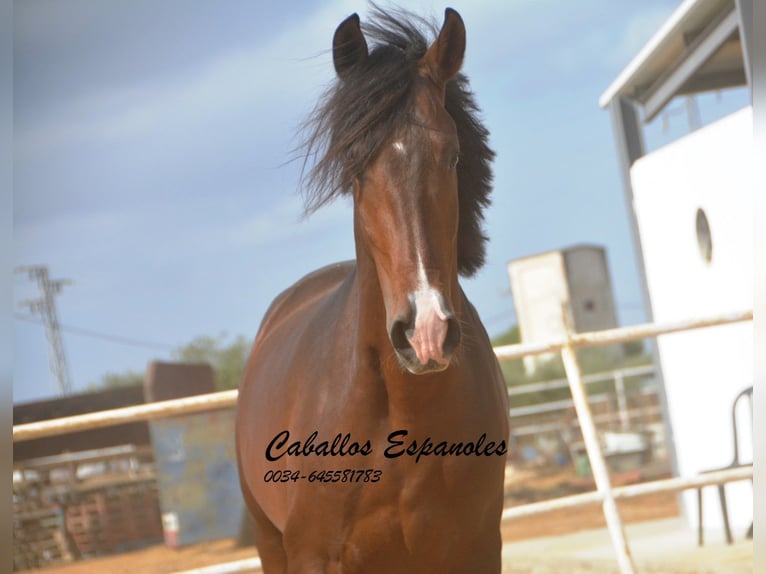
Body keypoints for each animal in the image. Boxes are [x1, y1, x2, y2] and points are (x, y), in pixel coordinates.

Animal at [236, 5, 510, 574]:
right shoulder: (313, 558)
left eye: (453, 157)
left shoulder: (477, 551)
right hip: (269, 543)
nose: (426, 333)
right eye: (354, 163)